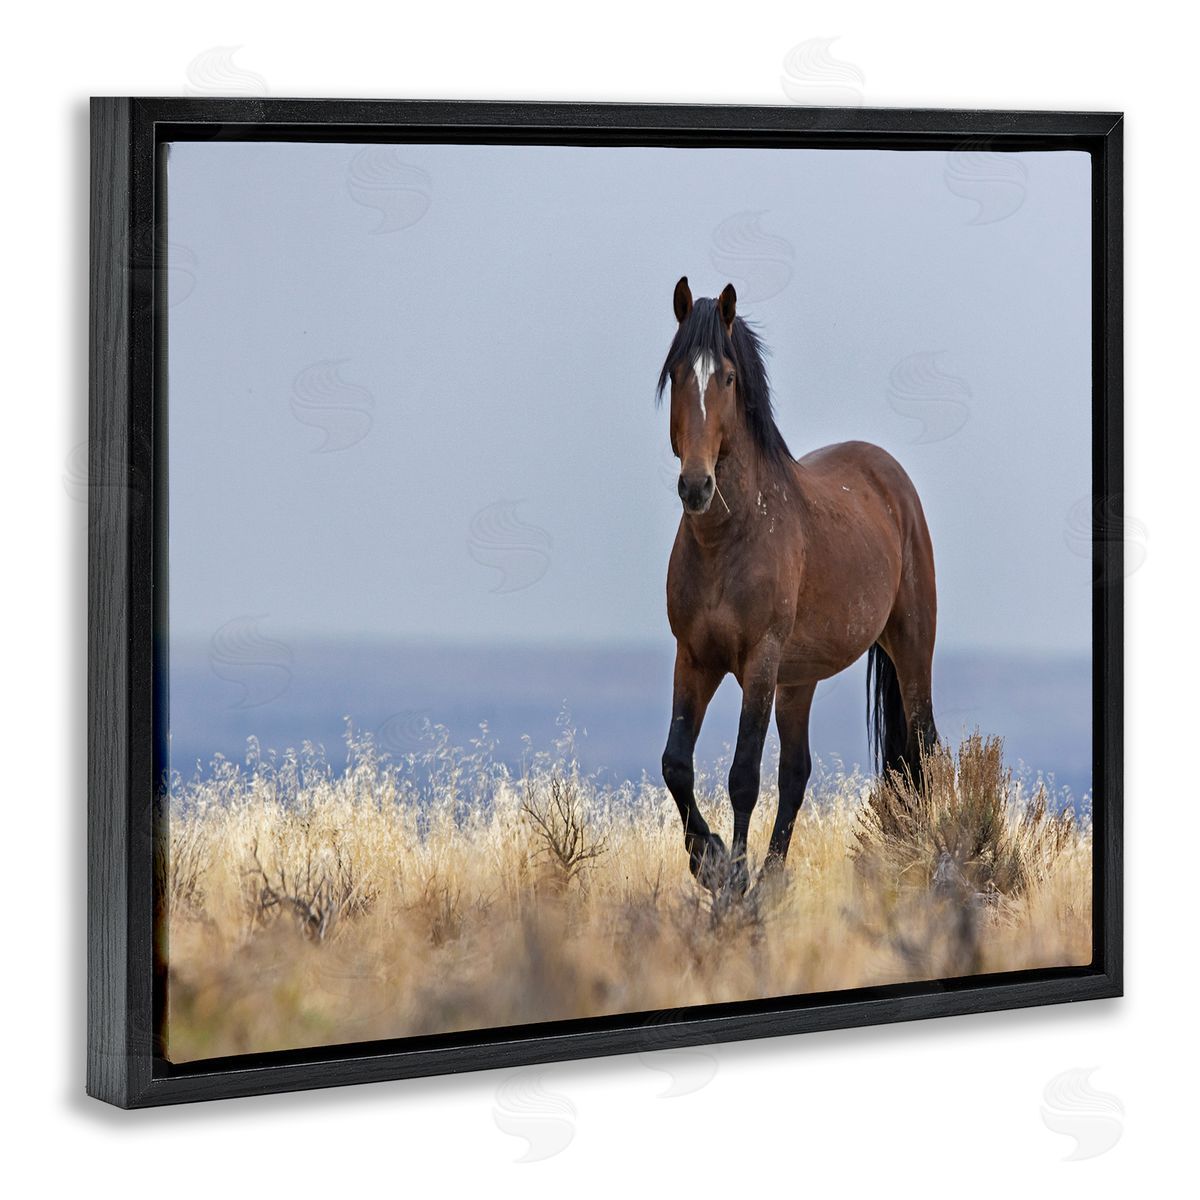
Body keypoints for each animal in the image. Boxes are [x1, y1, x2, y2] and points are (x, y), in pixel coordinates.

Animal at [657, 276, 940, 895]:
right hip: (798, 680)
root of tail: (891, 477)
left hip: (910, 649)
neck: (729, 540)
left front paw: (732, 879)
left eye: (727, 377)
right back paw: (772, 876)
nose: (696, 486)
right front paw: (710, 859)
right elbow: (675, 764)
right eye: (678, 373)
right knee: (796, 772)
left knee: (925, 750)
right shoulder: (693, 658)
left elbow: (743, 774)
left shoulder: (759, 662)